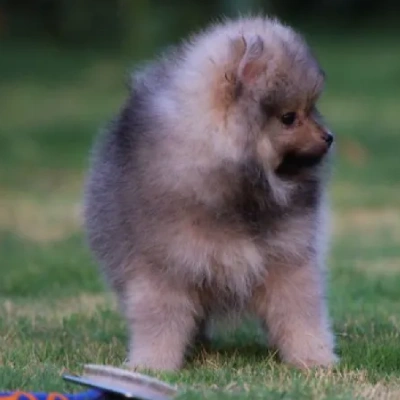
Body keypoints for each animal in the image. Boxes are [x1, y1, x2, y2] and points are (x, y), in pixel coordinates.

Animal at [83, 15, 338, 372]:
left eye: (312, 108)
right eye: (289, 118)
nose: (329, 136)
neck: (239, 192)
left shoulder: (287, 258)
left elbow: (300, 312)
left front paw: (314, 358)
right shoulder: (166, 265)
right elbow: (159, 319)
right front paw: (151, 364)